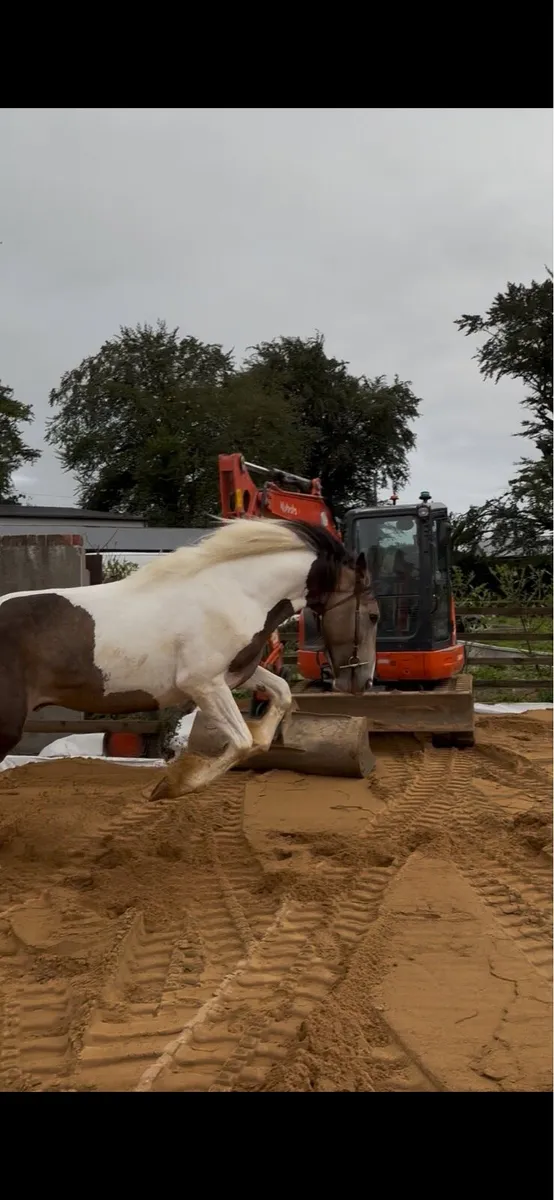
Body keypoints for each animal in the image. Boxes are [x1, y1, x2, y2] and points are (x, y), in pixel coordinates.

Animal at [0, 517, 379, 797]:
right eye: (374, 616)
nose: (363, 680)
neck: (236, 593)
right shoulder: (203, 684)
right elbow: (242, 741)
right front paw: (172, 785)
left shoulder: (236, 673)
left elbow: (280, 698)